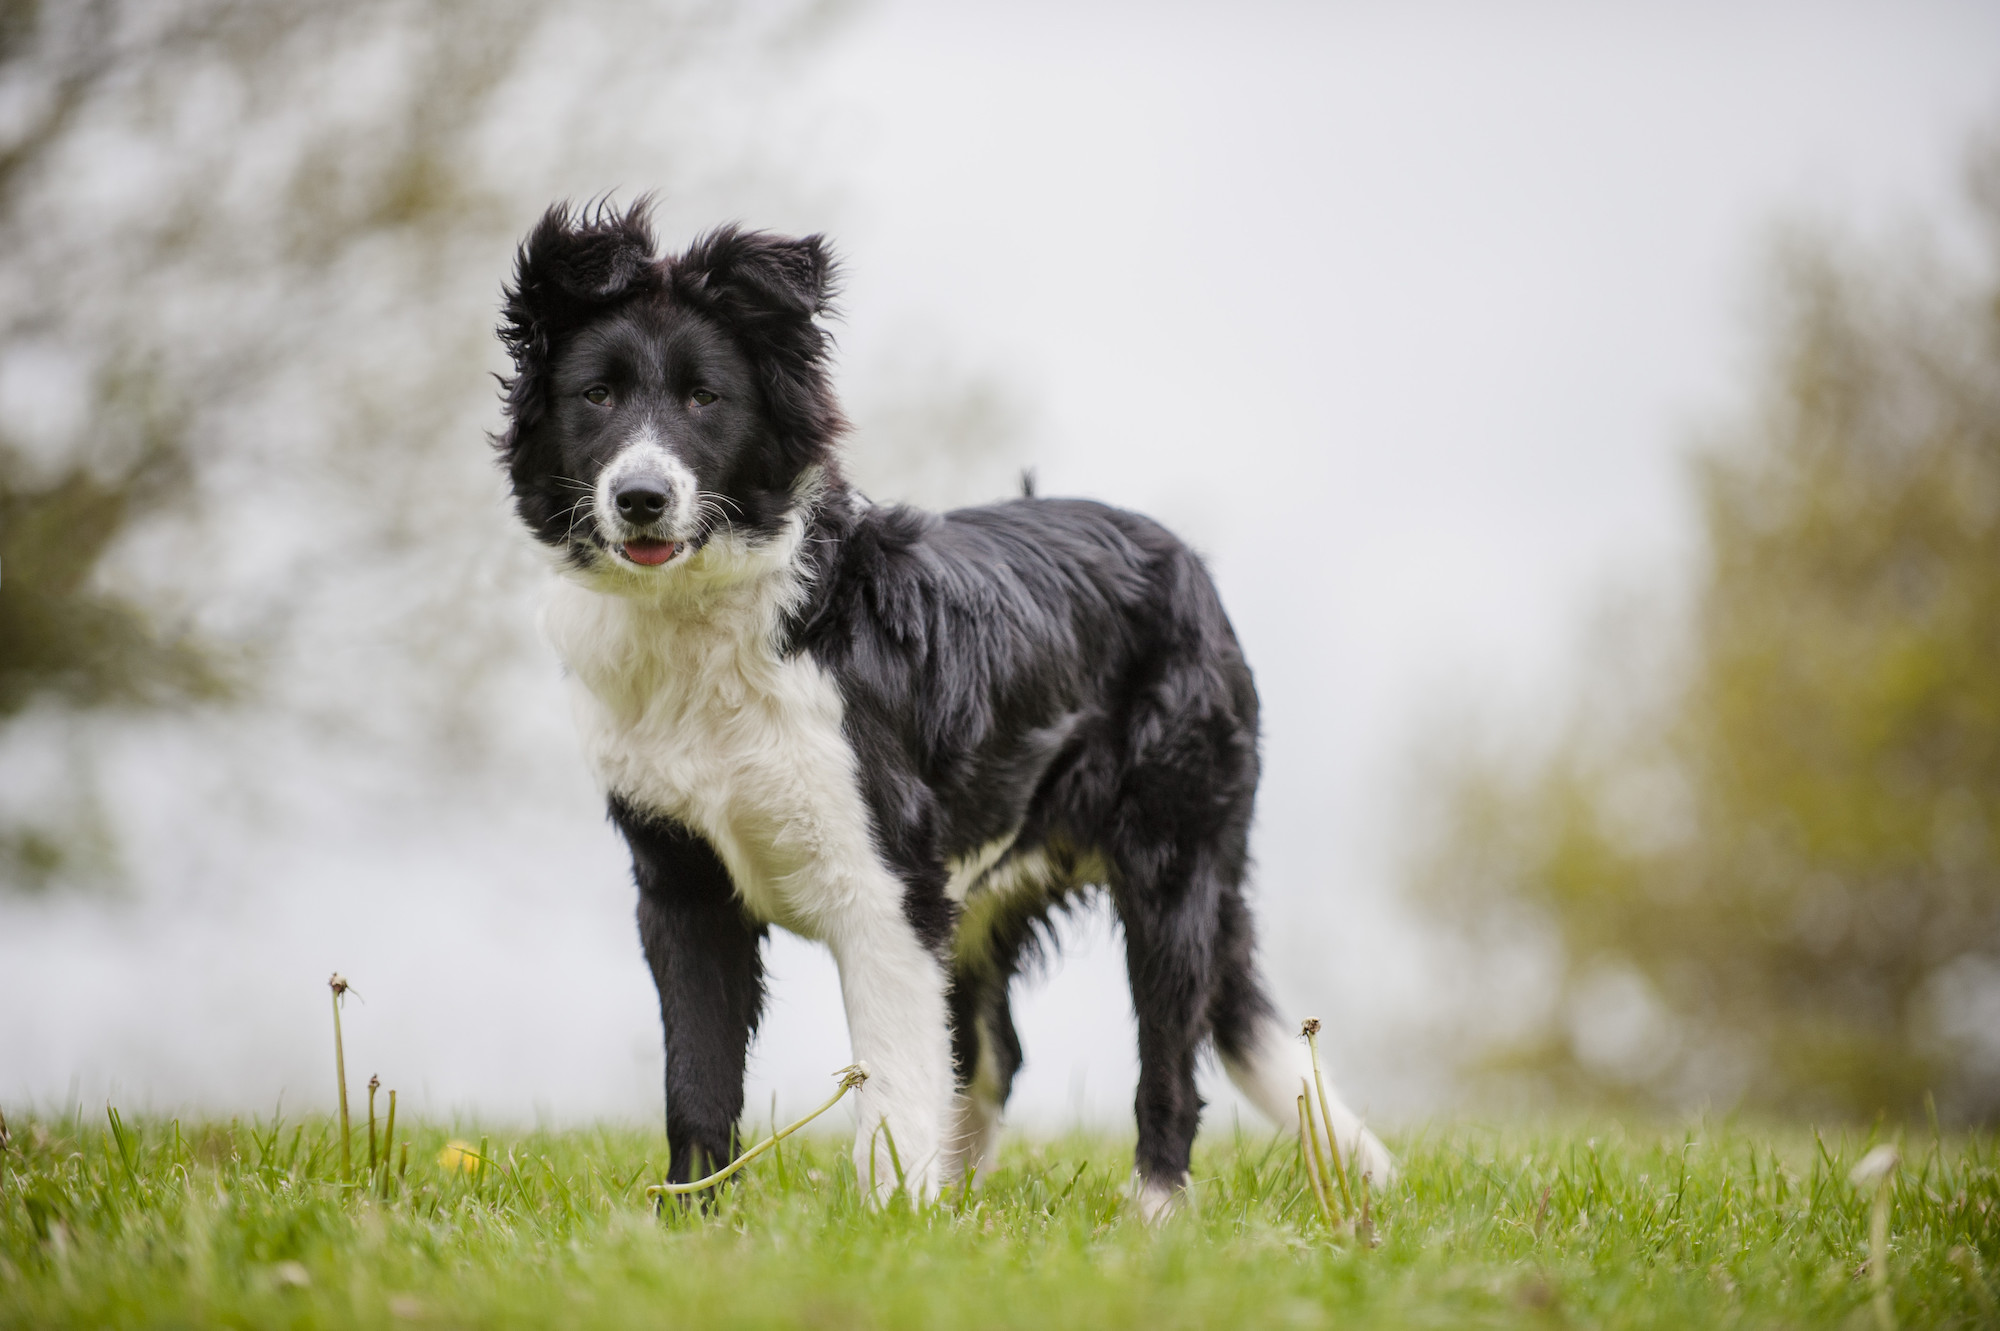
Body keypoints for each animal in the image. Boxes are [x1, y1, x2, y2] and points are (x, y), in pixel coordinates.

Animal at [496, 199, 1392, 1215]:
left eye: (704, 399)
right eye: (598, 396)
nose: (642, 497)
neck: (708, 621)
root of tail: (1184, 556)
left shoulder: (885, 887)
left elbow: (889, 1086)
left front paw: (888, 1223)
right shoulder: (680, 882)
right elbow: (698, 1081)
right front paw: (690, 1221)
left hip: (1173, 862)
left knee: (1167, 1062)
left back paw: (1154, 1214)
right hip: (990, 890)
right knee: (998, 1053)